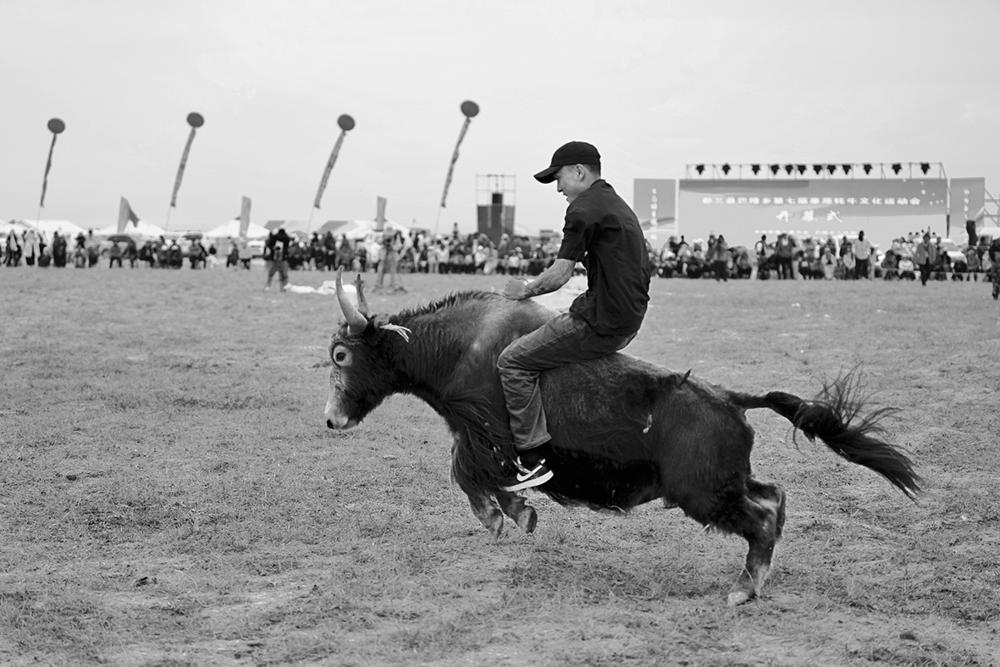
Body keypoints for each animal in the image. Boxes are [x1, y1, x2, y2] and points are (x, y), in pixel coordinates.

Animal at [324, 271, 920, 605]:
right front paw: (518, 513)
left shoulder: (482, 435)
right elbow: (482, 476)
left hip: (703, 493)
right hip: (725, 482)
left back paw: (745, 588)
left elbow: (469, 476)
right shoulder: (477, 439)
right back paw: (754, 578)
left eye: (342, 355)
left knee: (760, 518)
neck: (457, 346)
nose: (331, 420)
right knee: (773, 498)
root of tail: (730, 398)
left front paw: (504, 516)